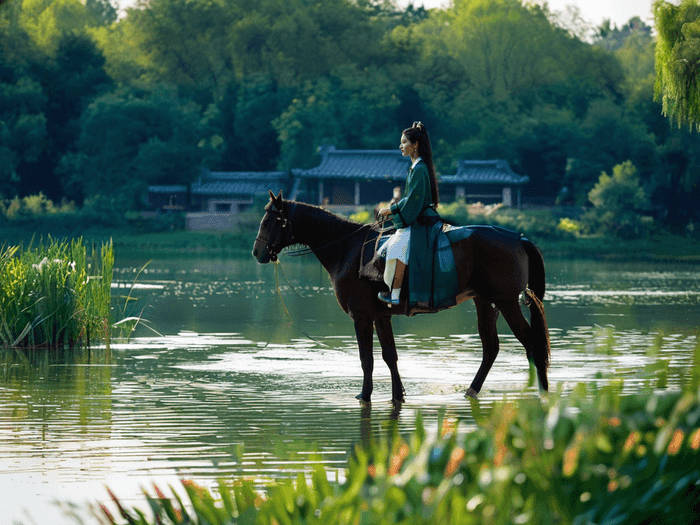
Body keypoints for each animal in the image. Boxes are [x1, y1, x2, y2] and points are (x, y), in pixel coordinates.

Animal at [253, 191, 552, 402]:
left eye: (268, 221)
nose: (257, 252)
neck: (346, 248)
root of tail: (518, 237)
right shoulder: (381, 316)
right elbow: (390, 356)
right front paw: (398, 394)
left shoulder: (361, 317)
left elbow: (367, 359)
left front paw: (365, 395)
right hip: (485, 302)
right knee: (491, 349)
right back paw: (472, 390)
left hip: (506, 302)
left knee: (532, 345)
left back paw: (543, 392)